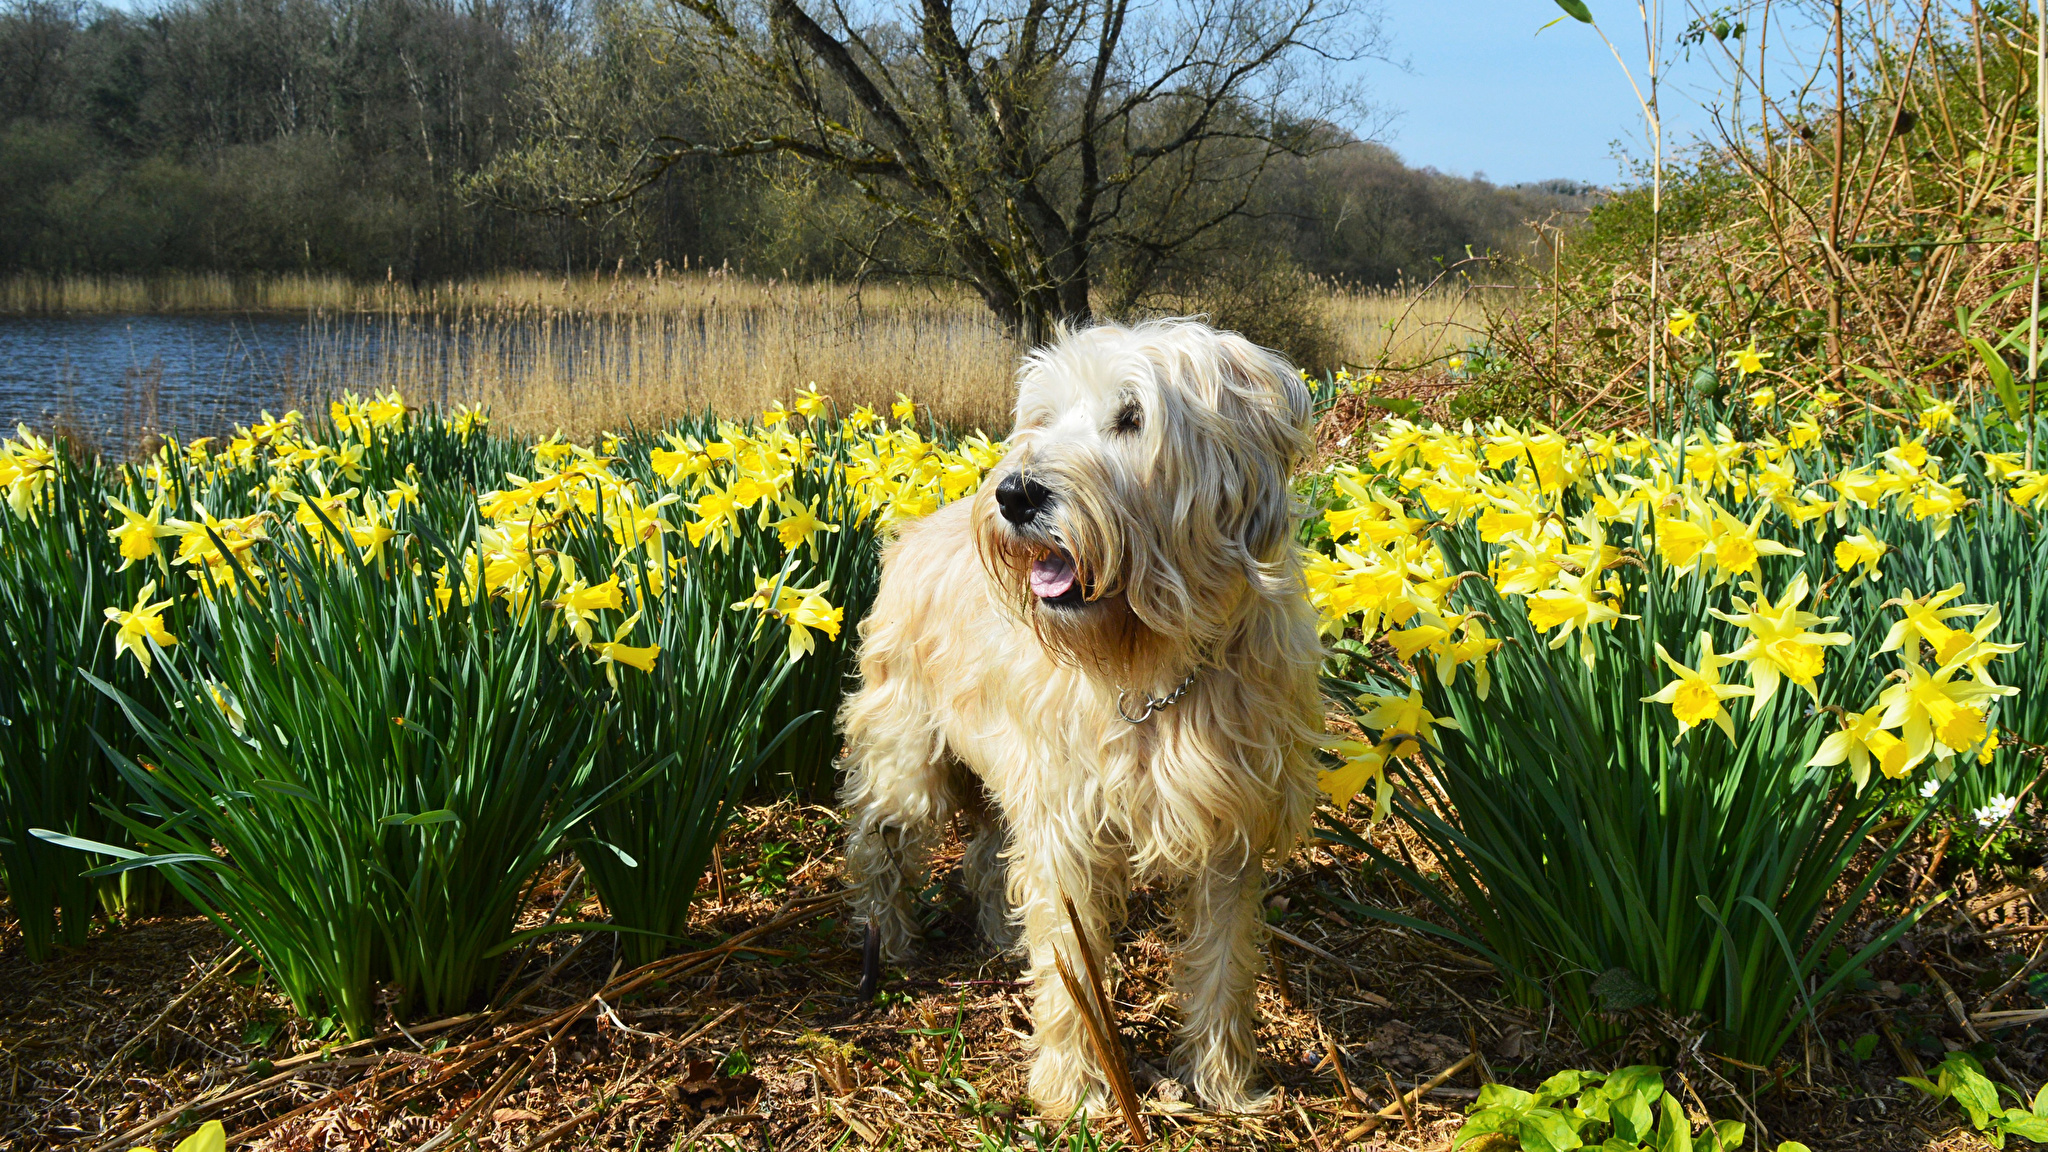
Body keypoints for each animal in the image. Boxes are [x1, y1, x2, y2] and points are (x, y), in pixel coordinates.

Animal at [839, 315, 1318, 1115]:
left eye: (1131, 417)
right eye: (1041, 418)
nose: (1014, 493)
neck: (1155, 665)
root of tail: (913, 530)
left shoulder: (1230, 828)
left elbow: (1223, 960)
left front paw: (1222, 1081)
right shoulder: (1067, 820)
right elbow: (1070, 962)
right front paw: (1077, 1087)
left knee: (986, 854)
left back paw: (998, 933)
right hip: (906, 759)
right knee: (881, 844)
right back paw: (888, 944)